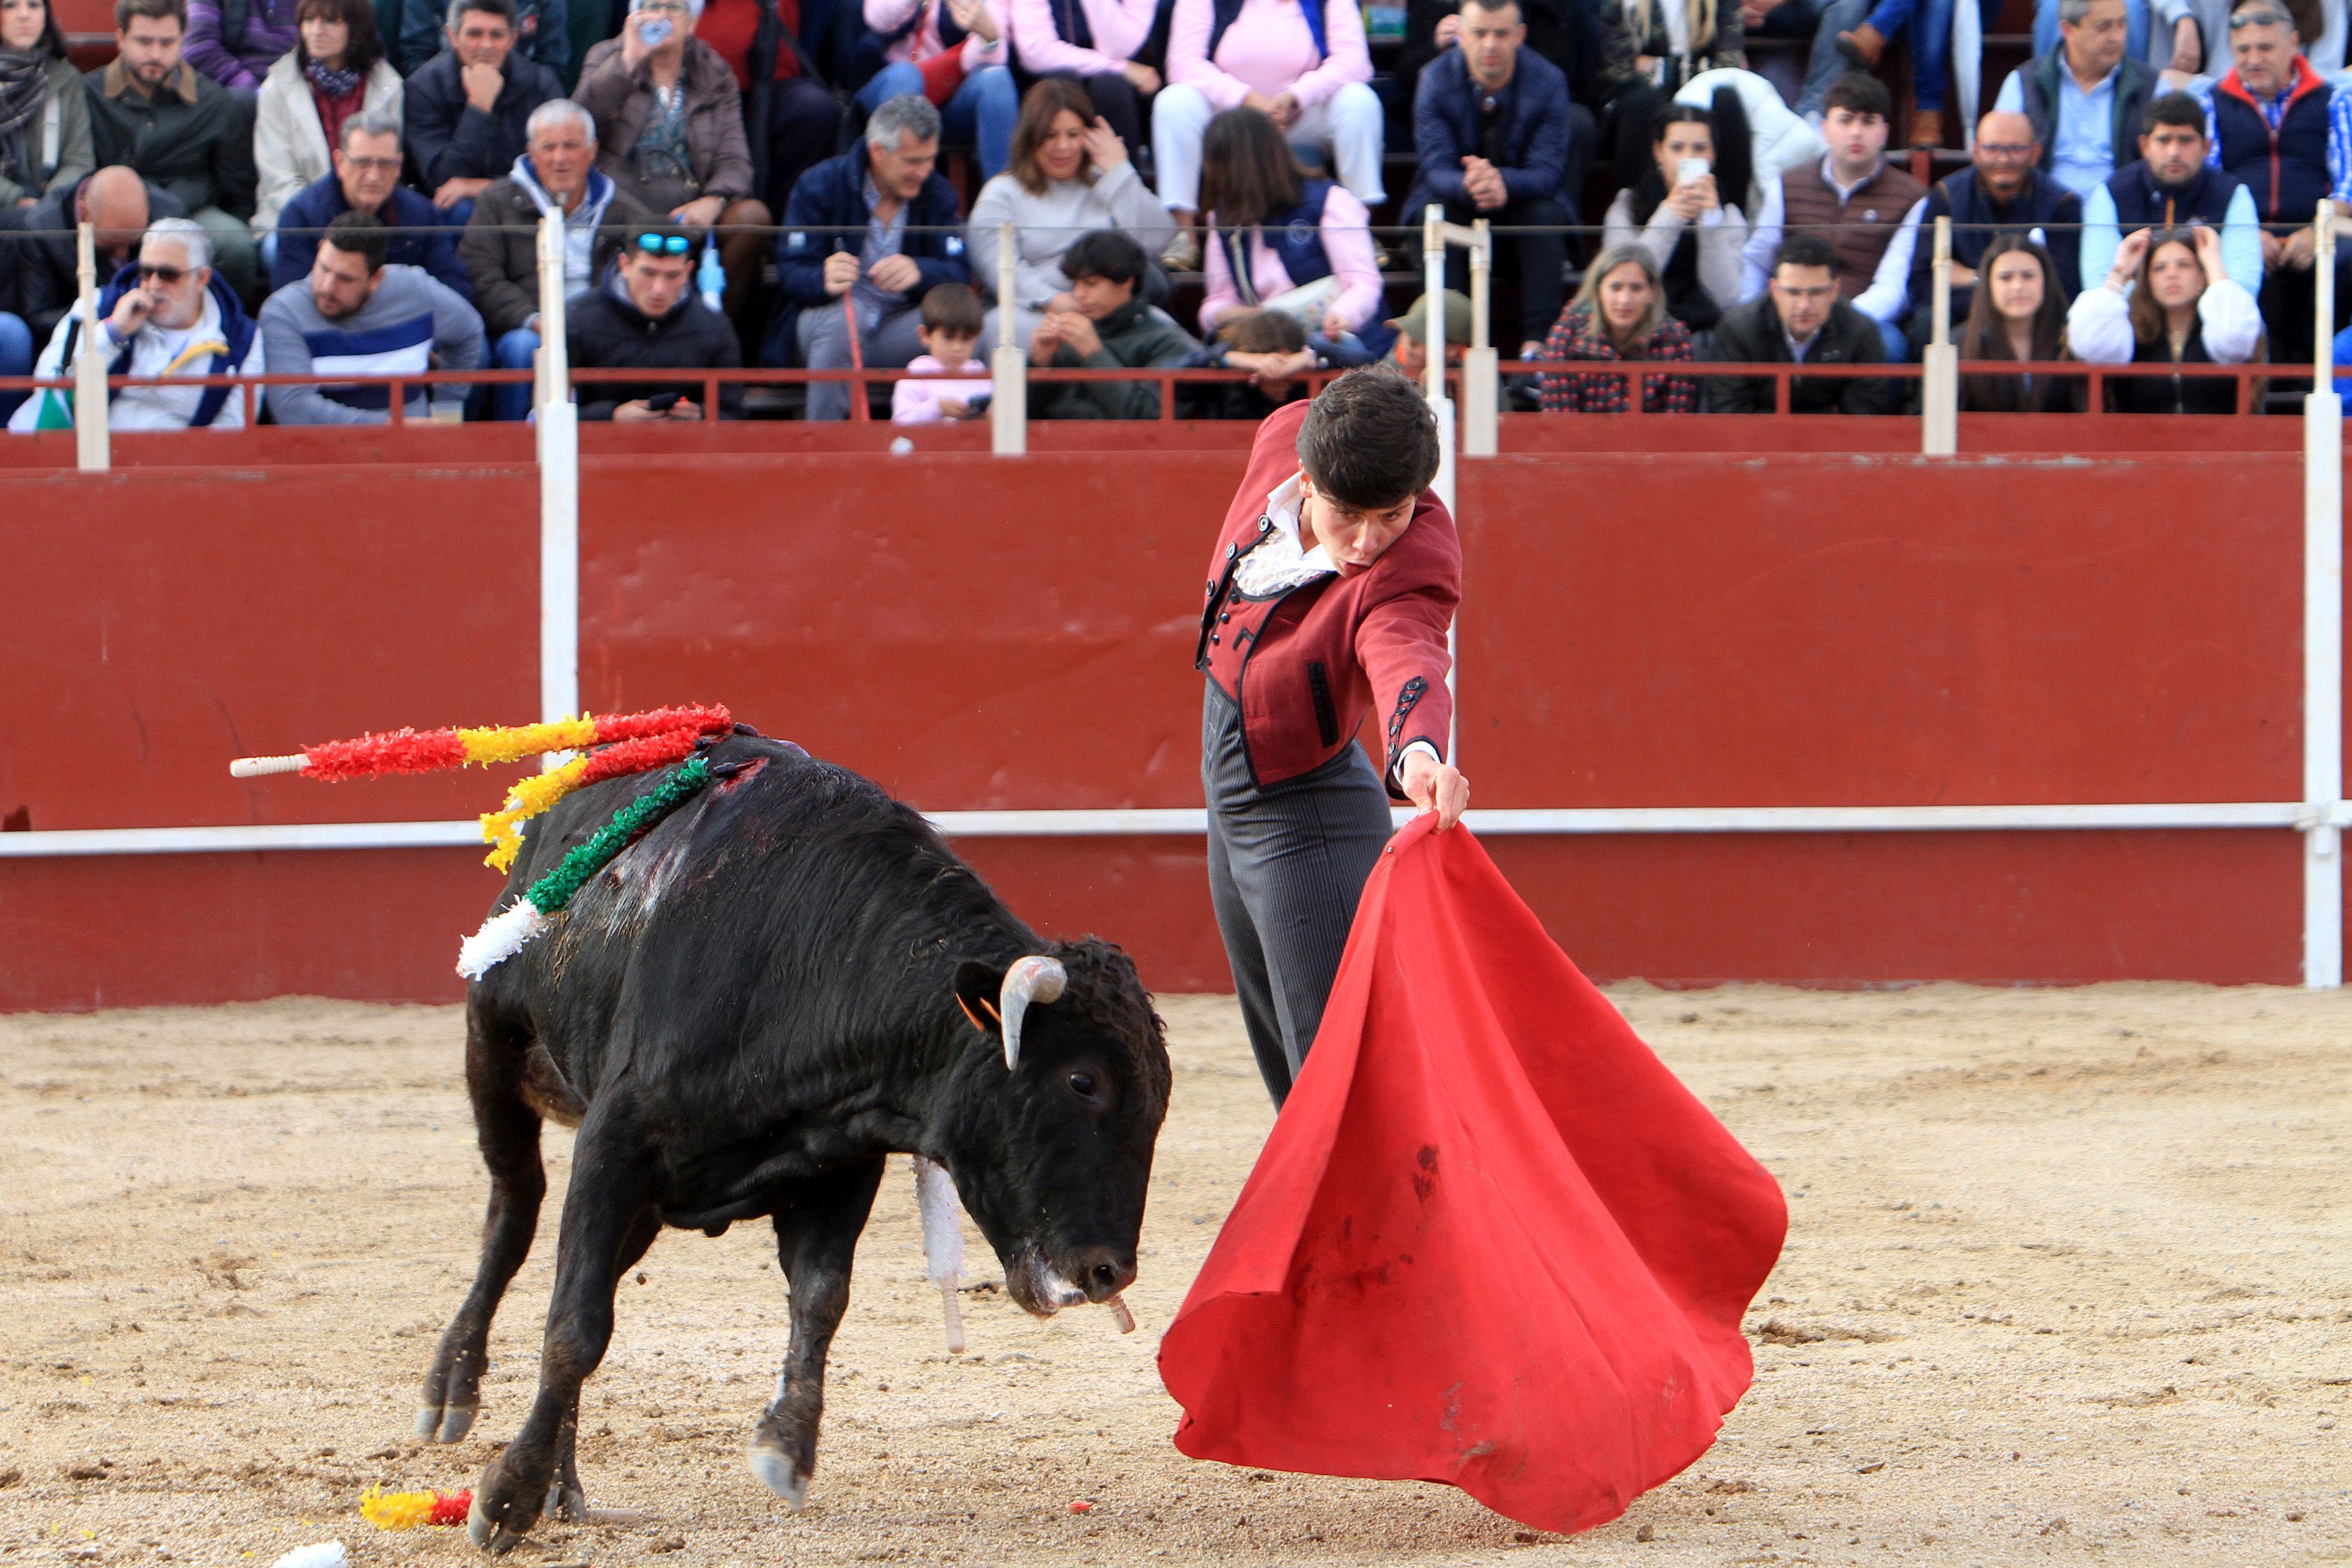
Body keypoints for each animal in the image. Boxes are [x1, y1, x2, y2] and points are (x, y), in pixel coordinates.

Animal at [416, 743, 1176, 1551]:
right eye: (1082, 1080)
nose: (1111, 1270)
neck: (815, 968)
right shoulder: (612, 1145)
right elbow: (575, 1326)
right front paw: (507, 1496)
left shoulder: (840, 1165)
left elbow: (818, 1300)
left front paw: (788, 1446)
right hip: (494, 1044)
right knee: (514, 1210)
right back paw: (453, 1390)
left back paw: (566, 1482)